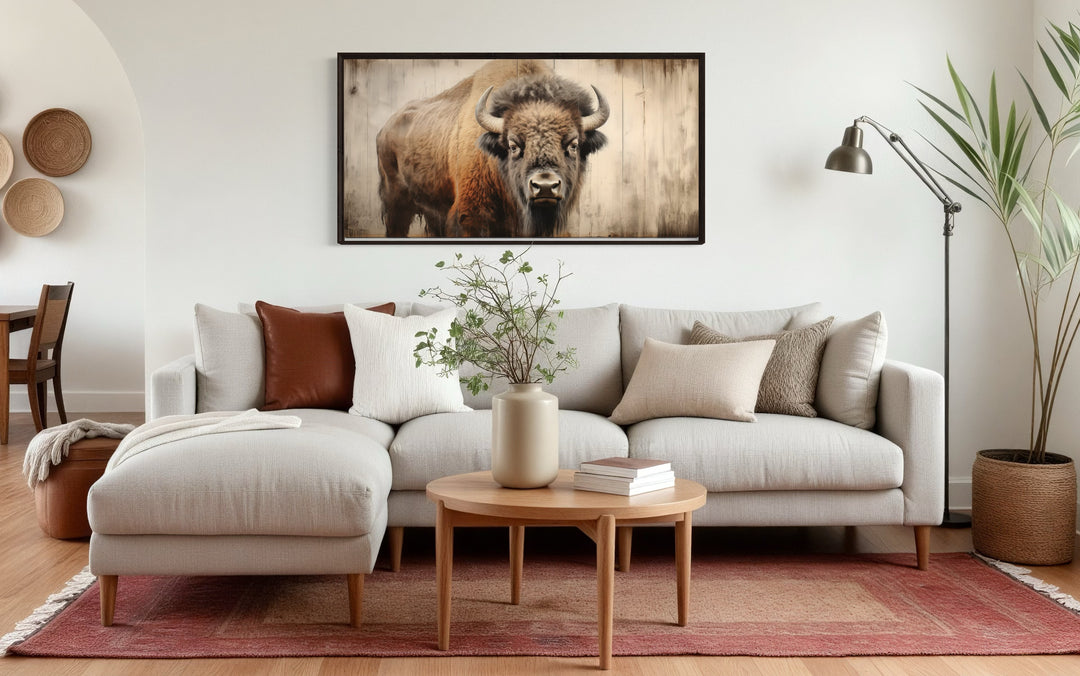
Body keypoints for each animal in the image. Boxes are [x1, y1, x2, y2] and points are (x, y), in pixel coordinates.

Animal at [375, 60, 609, 238]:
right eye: (513, 146)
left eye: (574, 144)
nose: (545, 186)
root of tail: (385, 127)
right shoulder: (470, 216)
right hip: (395, 201)